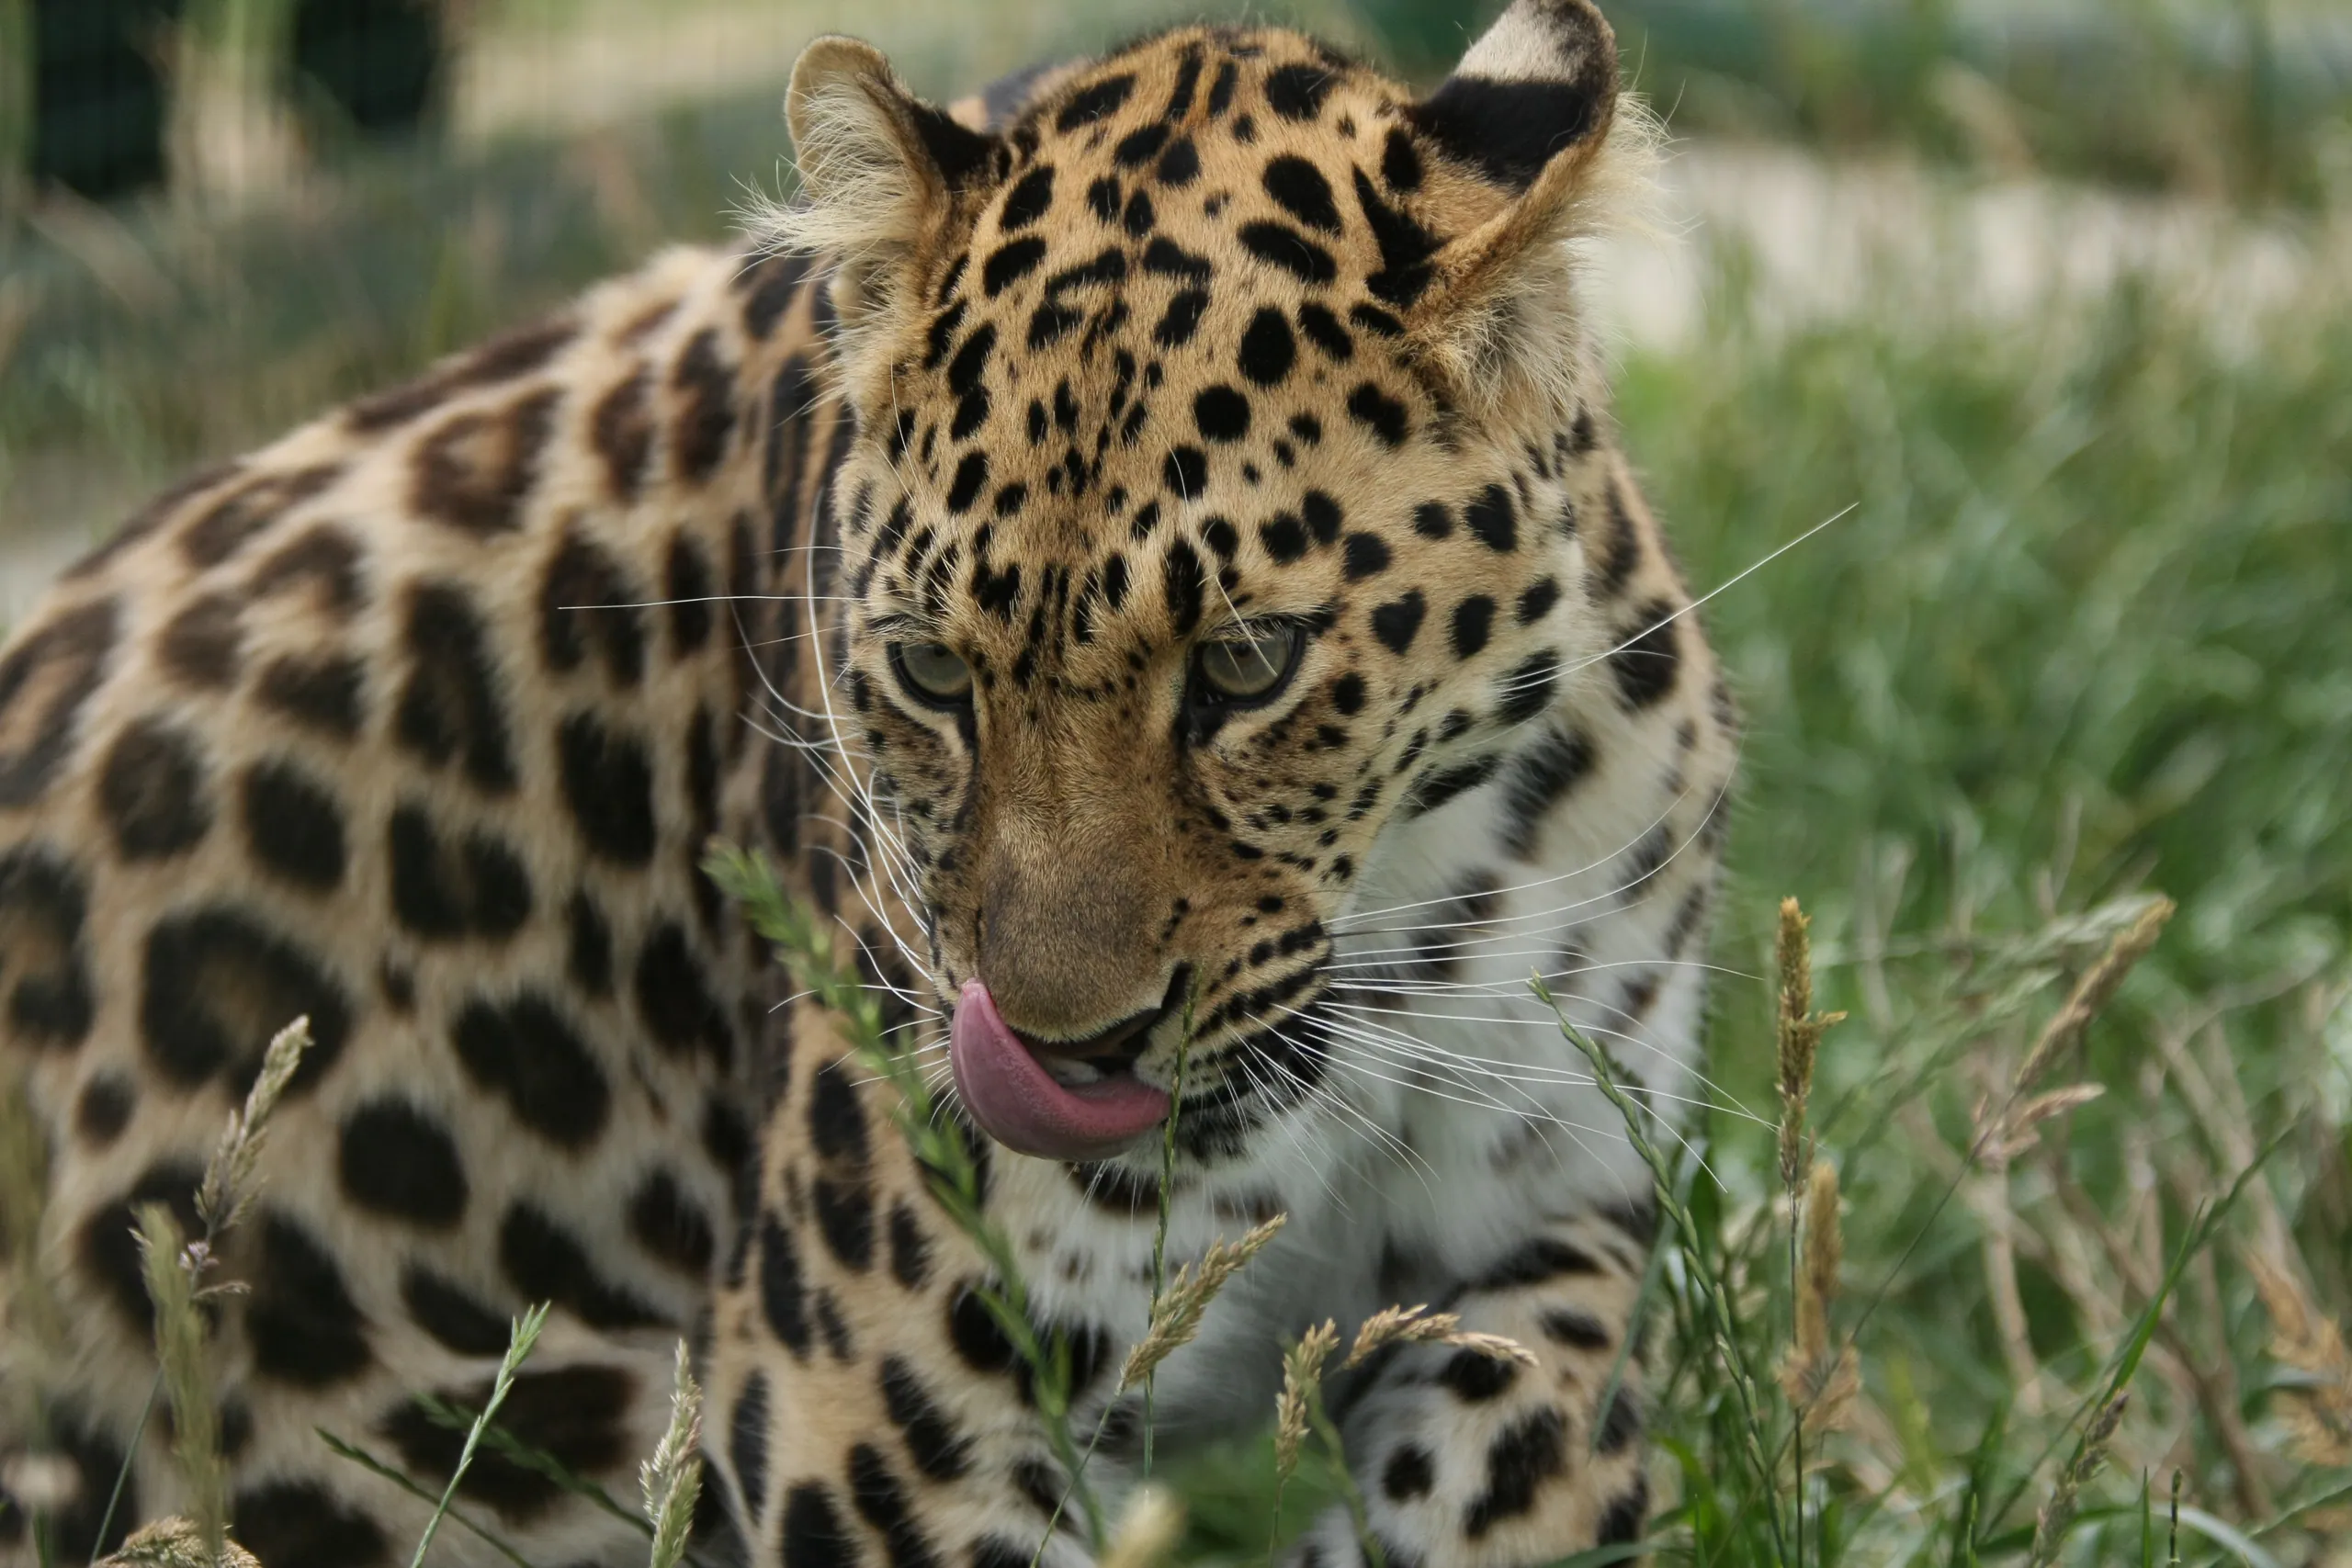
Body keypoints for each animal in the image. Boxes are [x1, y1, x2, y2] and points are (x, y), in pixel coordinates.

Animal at [0, 3, 1738, 1565]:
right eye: (930, 673)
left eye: (1248, 664)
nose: (1063, 1051)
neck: (1406, 938)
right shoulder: (880, 1409)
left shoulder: (1564, 1200)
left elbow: (1535, 1455)